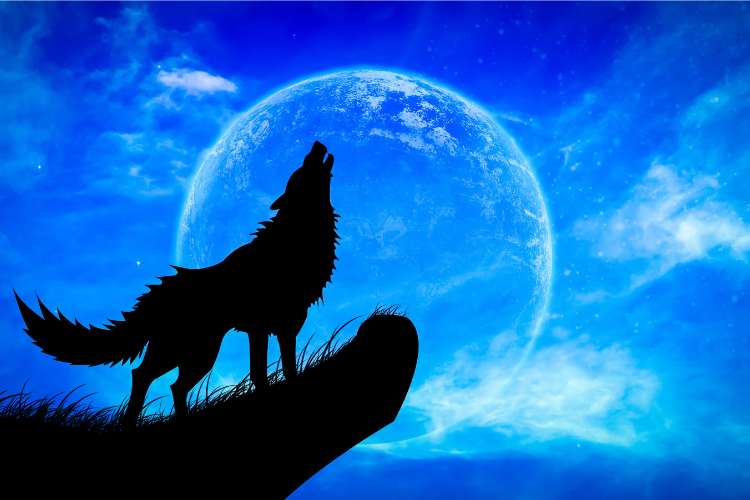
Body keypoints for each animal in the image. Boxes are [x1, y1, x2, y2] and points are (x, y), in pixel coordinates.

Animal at [15, 140, 339, 426]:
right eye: (302, 167)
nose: (317, 143)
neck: (293, 238)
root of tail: (156, 294)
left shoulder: (276, 327)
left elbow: (274, 371)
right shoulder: (270, 327)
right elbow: (273, 371)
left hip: (197, 353)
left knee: (172, 385)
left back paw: (177, 420)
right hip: (188, 351)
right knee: (146, 376)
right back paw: (134, 424)